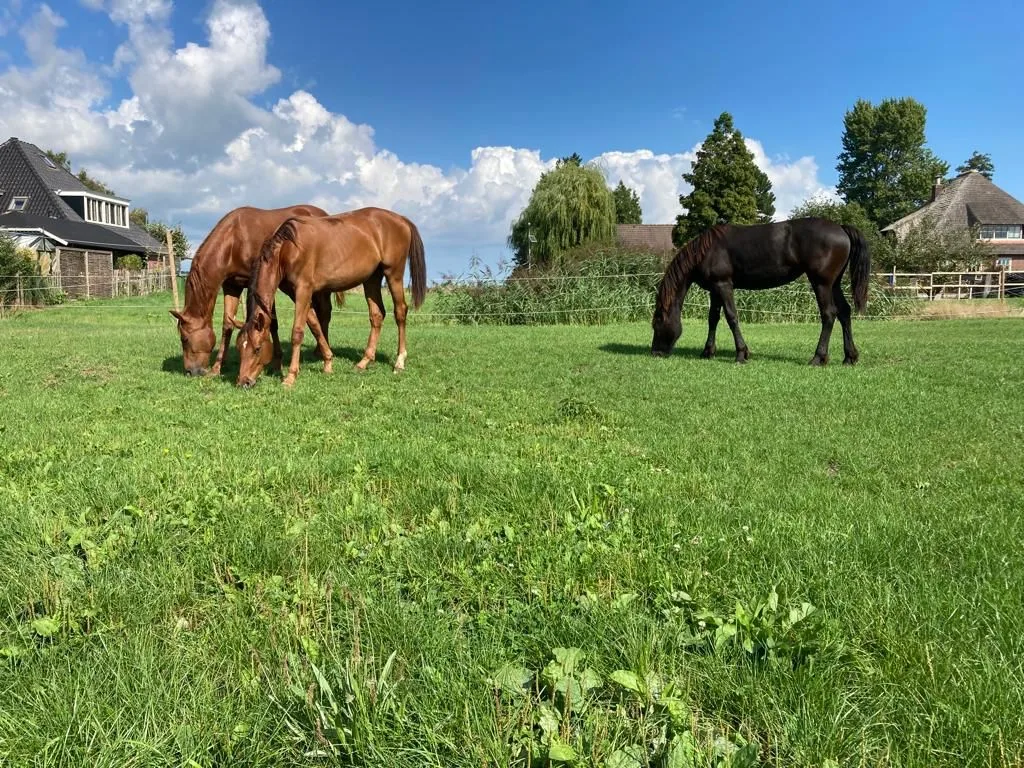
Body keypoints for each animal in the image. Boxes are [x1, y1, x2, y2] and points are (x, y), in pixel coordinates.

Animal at [169, 204, 342, 377]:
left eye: (184, 339)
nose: (190, 371)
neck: (234, 240)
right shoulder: (232, 286)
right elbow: (227, 324)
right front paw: (217, 367)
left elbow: (271, 324)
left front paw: (276, 363)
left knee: (324, 313)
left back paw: (320, 351)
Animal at [235, 206, 427, 389]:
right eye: (239, 348)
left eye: (257, 349)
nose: (243, 382)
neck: (287, 249)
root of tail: (401, 219)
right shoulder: (295, 293)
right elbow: (315, 326)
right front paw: (328, 362)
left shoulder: (303, 290)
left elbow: (297, 332)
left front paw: (290, 377)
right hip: (372, 278)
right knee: (377, 315)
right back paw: (363, 362)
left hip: (393, 274)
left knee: (400, 312)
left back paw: (399, 362)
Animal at [650, 217, 871, 365]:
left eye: (657, 323)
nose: (656, 353)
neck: (706, 251)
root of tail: (841, 228)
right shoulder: (715, 289)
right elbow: (713, 318)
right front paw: (708, 351)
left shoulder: (724, 285)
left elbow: (731, 317)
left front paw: (741, 354)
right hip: (834, 284)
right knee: (844, 313)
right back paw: (850, 357)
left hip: (821, 283)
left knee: (829, 314)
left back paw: (818, 357)